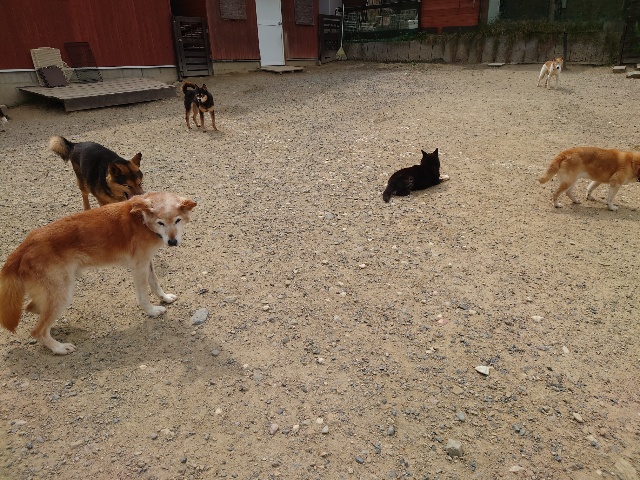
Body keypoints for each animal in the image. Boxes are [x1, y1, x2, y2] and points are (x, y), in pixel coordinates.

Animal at [0, 192, 197, 355]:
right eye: (160, 223)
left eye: (177, 220)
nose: (172, 242)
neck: (141, 220)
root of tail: (23, 247)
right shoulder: (138, 266)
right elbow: (143, 296)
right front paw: (153, 311)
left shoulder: (147, 261)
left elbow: (155, 283)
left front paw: (165, 298)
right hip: (63, 291)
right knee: (37, 330)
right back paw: (59, 348)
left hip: (56, 290)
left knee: (33, 309)